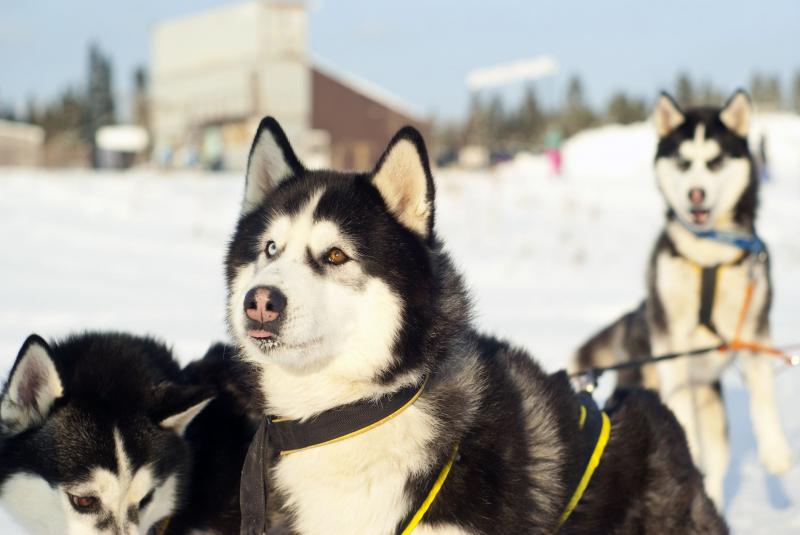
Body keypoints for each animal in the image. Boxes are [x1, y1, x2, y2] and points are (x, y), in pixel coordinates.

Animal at [572, 91, 792, 506]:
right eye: (683, 162)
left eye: (715, 161)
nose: (696, 194)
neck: (708, 257)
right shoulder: (671, 339)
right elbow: (682, 410)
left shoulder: (755, 328)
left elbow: (764, 398)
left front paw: (775, 452)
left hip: (714, 411)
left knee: (713, 468)